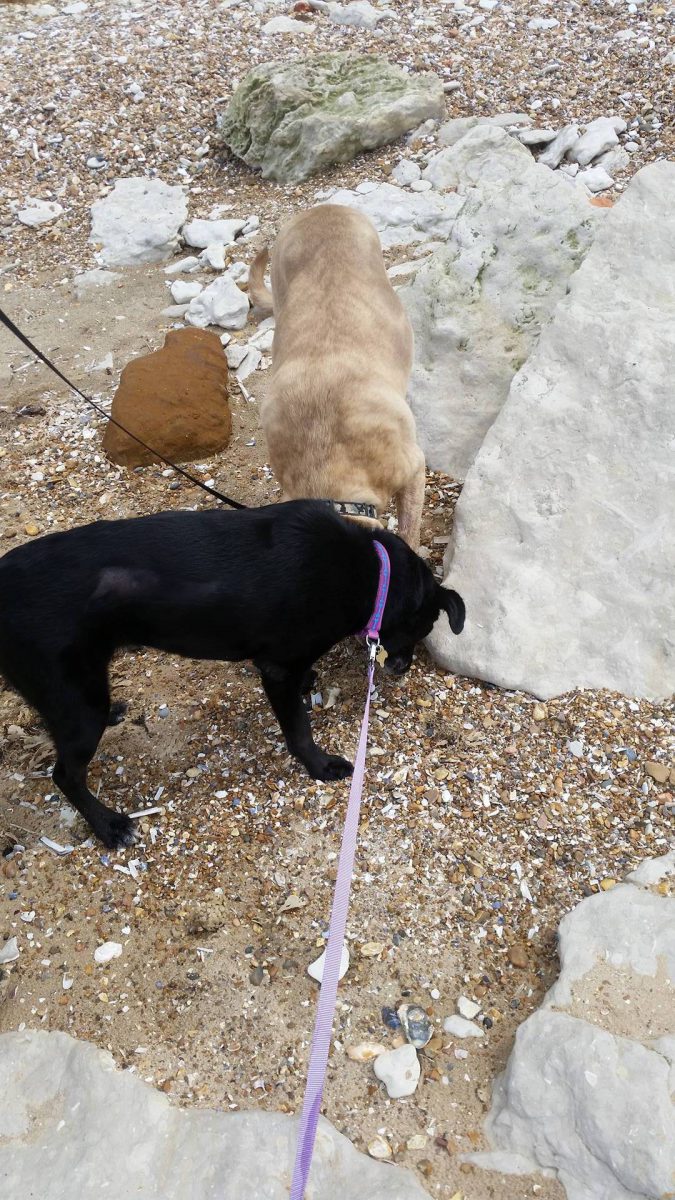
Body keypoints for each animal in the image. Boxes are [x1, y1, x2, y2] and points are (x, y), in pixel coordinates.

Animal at [0, 501, 464, 849]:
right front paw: (320, 765)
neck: (371, 572)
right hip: (79, 704)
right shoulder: (278, 670)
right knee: (65, 775)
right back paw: (109, 826)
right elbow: (299, 730)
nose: (402, 668)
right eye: (425, 627)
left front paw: (310, 683)